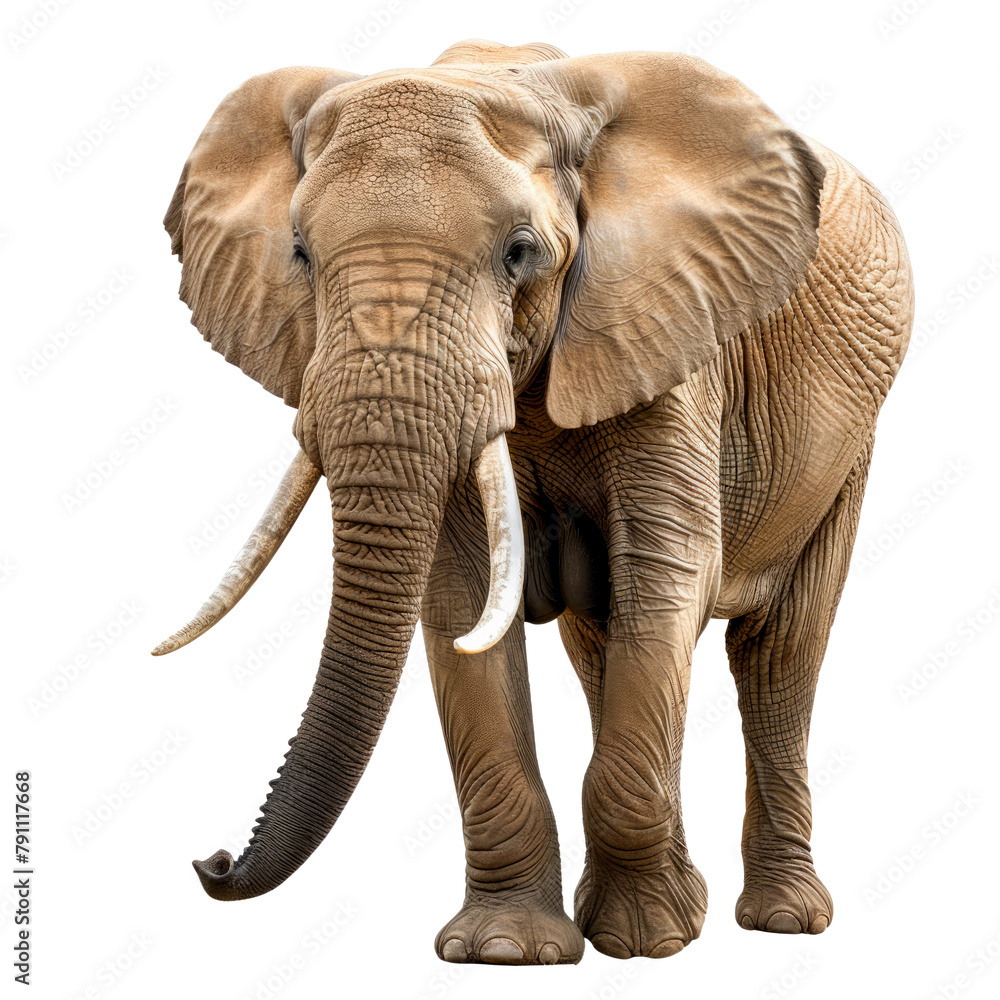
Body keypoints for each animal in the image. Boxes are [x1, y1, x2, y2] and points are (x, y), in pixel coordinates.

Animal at [154, 39, 913, 965]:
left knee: (778, 654)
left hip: (848, 447)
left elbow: (667, 574)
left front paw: (646, 945)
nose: (213, 861)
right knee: (606, 650)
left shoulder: (667, 331)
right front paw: (505, 951)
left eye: (519, 252)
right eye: (298, 252)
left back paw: (781, 920)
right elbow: (461, 604)